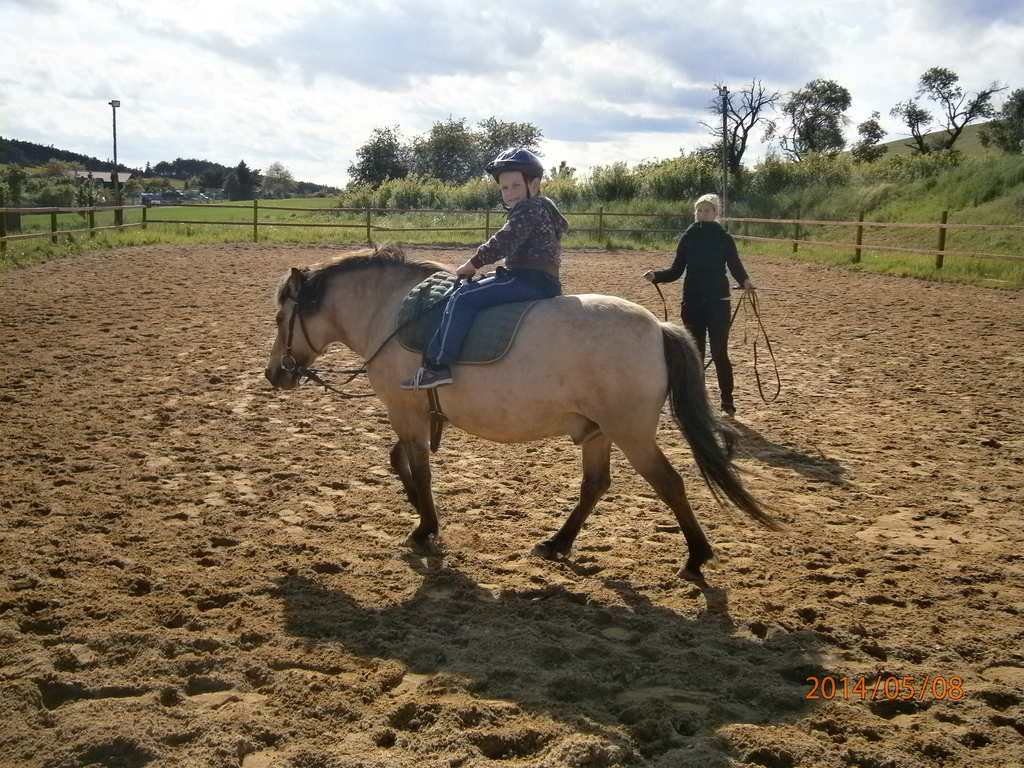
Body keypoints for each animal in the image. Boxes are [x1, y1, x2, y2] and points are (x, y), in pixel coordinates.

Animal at [264, 243, 774, 585]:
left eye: (279, 318)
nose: (274, 374)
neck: (392, 313)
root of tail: (657, 327)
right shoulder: (411, 416)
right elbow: (398, 460)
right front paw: (419, 512)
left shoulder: (404, 411)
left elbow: (418, 469)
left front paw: (425, 527)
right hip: (598, 433)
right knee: (595, 485)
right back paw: (558, 542)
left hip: (631, 435)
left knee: (669, 484)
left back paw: (695, 557)